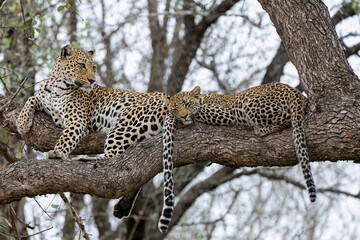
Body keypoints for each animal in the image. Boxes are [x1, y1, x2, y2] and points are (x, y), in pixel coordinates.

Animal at [17, 44, 172, 220]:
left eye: (94, 68)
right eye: (81, 65)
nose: (92, 80)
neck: (57, 86)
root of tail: (171, 98)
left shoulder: (76, 120)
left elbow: (66, 137)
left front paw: (57, 152)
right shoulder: (47, 104)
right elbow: (32, 98)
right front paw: (22, 122)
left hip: (126, 122)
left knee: (113, 161)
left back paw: (84, 159)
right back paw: (123, 207)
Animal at [158, 82, 318, 232]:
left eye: (187, 104)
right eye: (175, 108)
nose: (183, 116)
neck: (204, 98)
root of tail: (294, 91)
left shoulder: (226, 114)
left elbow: (199, 111)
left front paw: (183, 116)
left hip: (250, 104)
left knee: (286, 117)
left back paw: (261, 129)